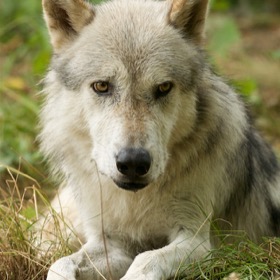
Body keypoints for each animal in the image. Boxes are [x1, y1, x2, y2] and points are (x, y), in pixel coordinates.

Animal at [40, 0, 280, 278]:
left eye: (163, 88)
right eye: (101, 86)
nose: (133, 162)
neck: (137, 204)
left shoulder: (199, 241)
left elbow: (146, 259)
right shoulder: (110, 244)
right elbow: (60, 264)